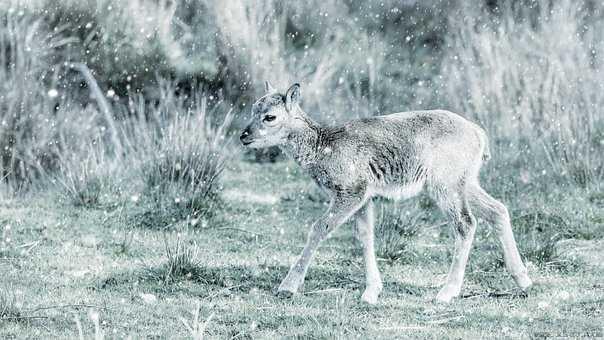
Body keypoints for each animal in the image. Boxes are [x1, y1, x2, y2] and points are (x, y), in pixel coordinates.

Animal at [238, 83, 532, 306]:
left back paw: (447, 292)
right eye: (253, 108)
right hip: (465, 182)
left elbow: (319, 227)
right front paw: (371, 292)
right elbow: (365, 237)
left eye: (270, 117)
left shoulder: (351, 191)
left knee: (466, 223)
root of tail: (479, 134)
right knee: (497, 210)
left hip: (445, 185)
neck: (324, 147)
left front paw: (287, 286)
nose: (244, 135)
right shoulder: (365, 197)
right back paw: (524, 280)